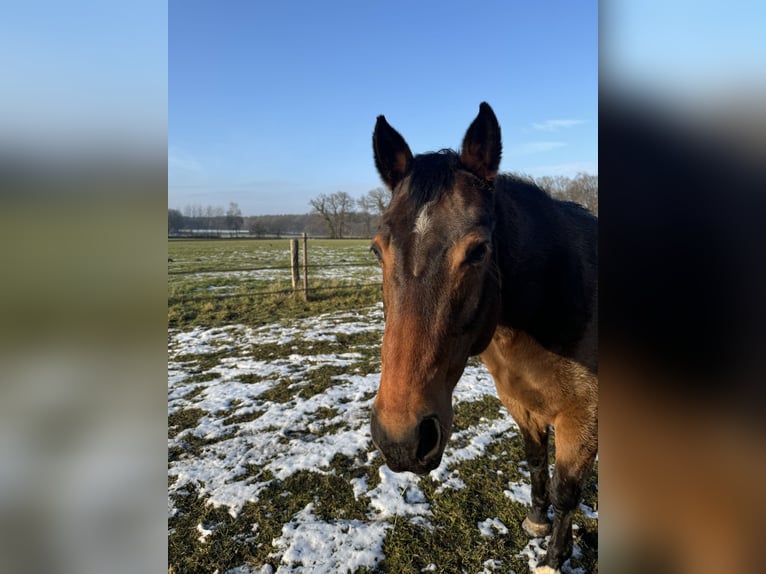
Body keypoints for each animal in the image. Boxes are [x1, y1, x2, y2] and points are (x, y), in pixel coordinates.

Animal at [368, 102, 598, 573]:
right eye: (377, 250)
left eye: (477, 251)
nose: (401, 439)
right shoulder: (521, 404)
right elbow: (535, 462)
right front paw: (536, 521)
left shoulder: (582, 419)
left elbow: (567, 491)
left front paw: (553, 559)